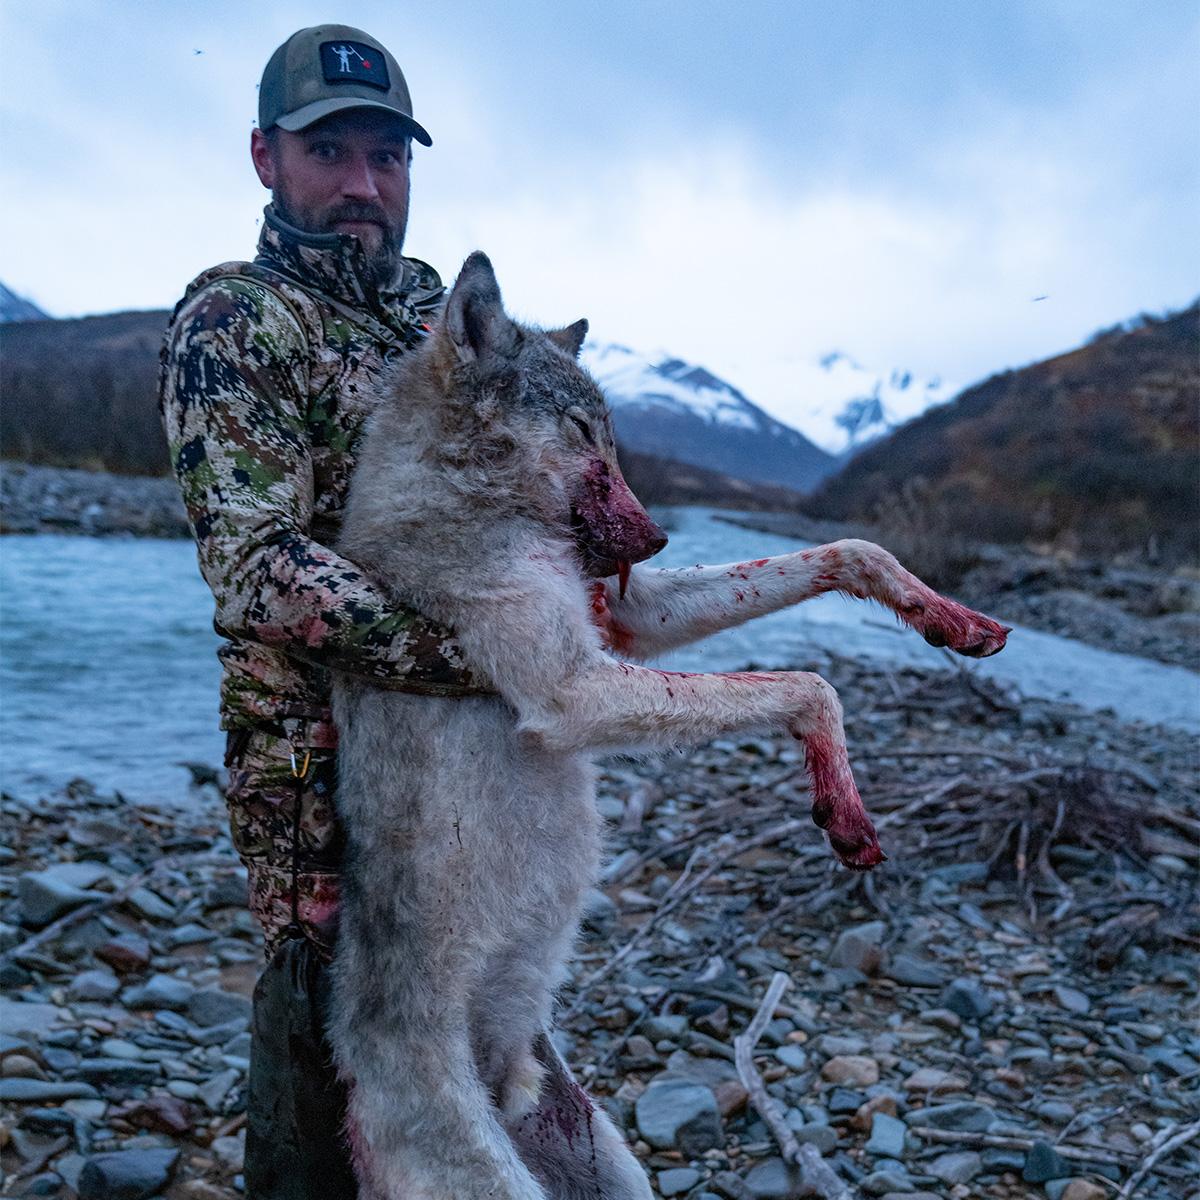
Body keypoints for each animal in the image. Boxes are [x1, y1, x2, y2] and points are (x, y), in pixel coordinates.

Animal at [331, 248, 1012, 1195]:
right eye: (583, 428)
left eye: (612, 434)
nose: (655, 539)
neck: (461, 490)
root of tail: (496, 1075)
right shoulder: (574, 691)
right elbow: (811, 683)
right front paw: (840, 805)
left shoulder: (634, 619)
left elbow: (851, 551)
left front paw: (946, 616)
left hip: (614, 1169)